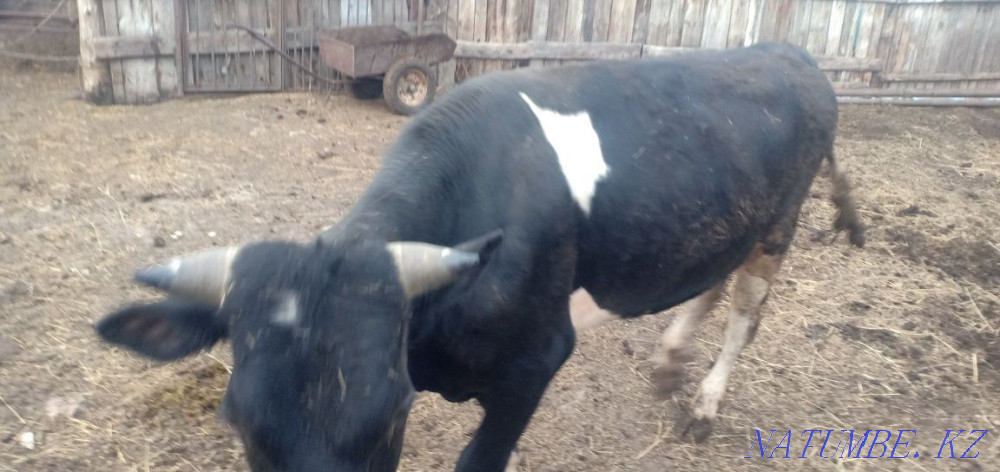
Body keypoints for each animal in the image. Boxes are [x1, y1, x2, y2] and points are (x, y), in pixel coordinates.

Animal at [95, 42, 865, 472]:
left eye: (392, 416)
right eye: (240, 422)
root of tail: (787, 49)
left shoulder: (537, 359)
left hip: (778, 228)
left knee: (743, 315)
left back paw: (703, 404)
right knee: (709, 285)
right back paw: (671, 362)